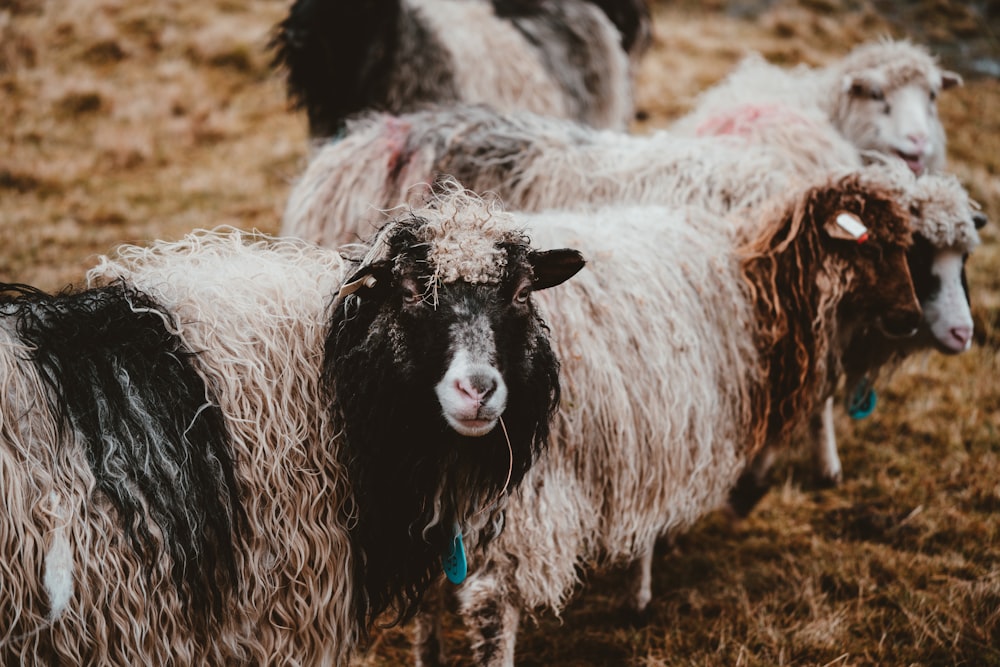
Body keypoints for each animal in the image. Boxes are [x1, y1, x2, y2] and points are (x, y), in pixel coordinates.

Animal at [410, 167, 924, 667]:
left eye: (906, 247)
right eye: (871, 246)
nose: (912, 318)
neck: (757, 284)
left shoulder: (653, 434)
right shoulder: (666, 432)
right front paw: (639, 594)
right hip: (524, 486)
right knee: (492, 603)